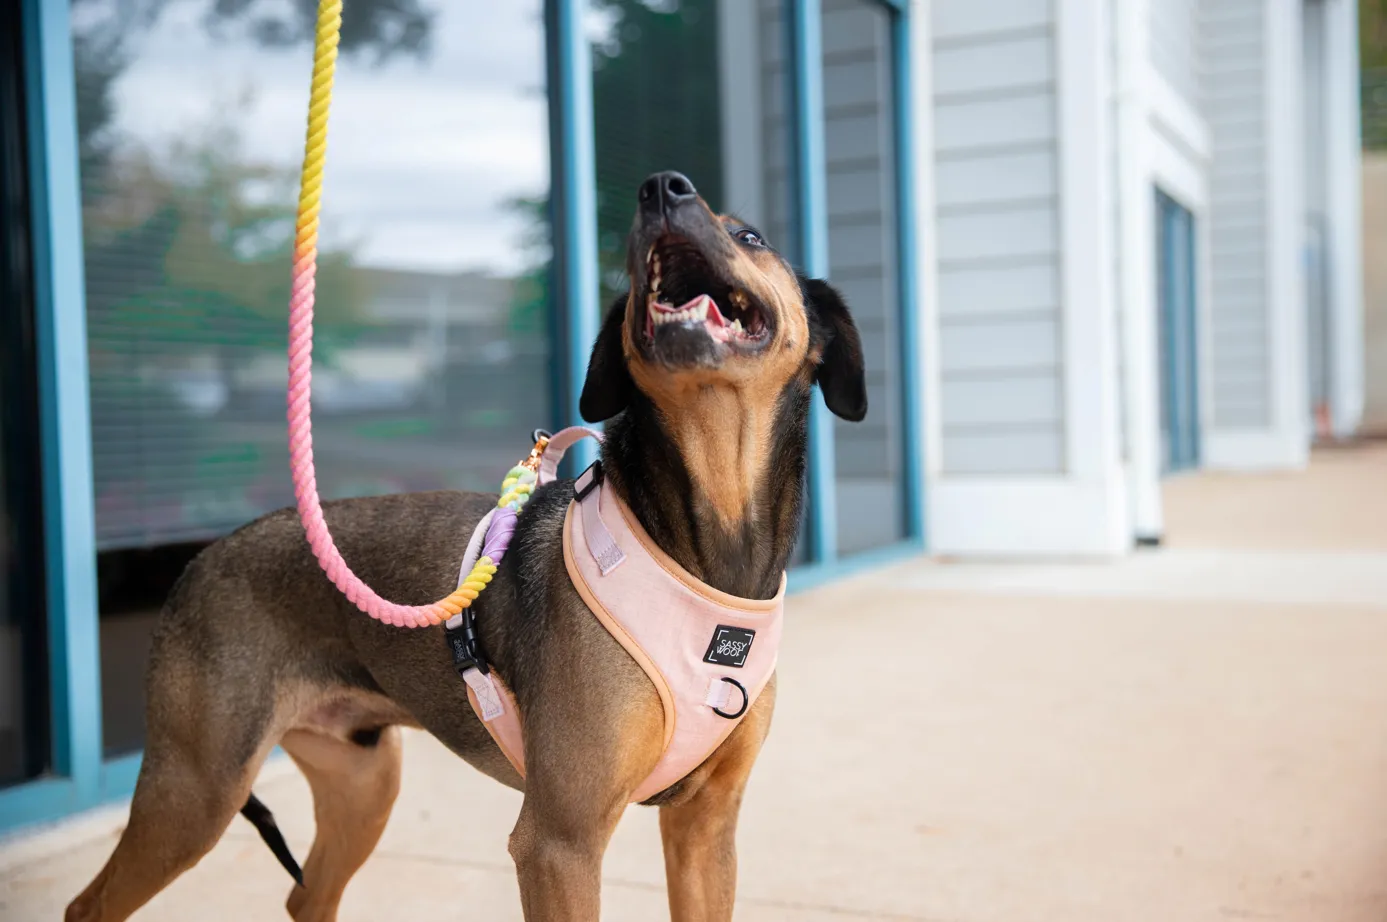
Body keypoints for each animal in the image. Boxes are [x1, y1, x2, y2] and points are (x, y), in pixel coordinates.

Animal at [70, 169, 865, 915]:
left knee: (307, 898)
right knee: (90, 903)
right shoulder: (558, 843)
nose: (659, 190)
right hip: (197, 787)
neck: (703, 546)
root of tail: (199, 559)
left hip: (362, 781)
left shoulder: (705, 830)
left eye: (751, 235)